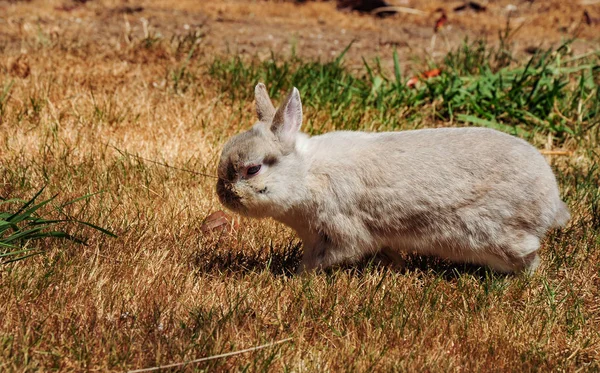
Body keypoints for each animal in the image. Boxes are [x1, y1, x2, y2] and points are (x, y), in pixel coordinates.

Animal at [214, 83, 568, 272]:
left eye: (253, 169)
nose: (223, 194)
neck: (306, 175)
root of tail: (551, 201)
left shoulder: (341, 230)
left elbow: (330, 256)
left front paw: (300, 275)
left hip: (495, 235)